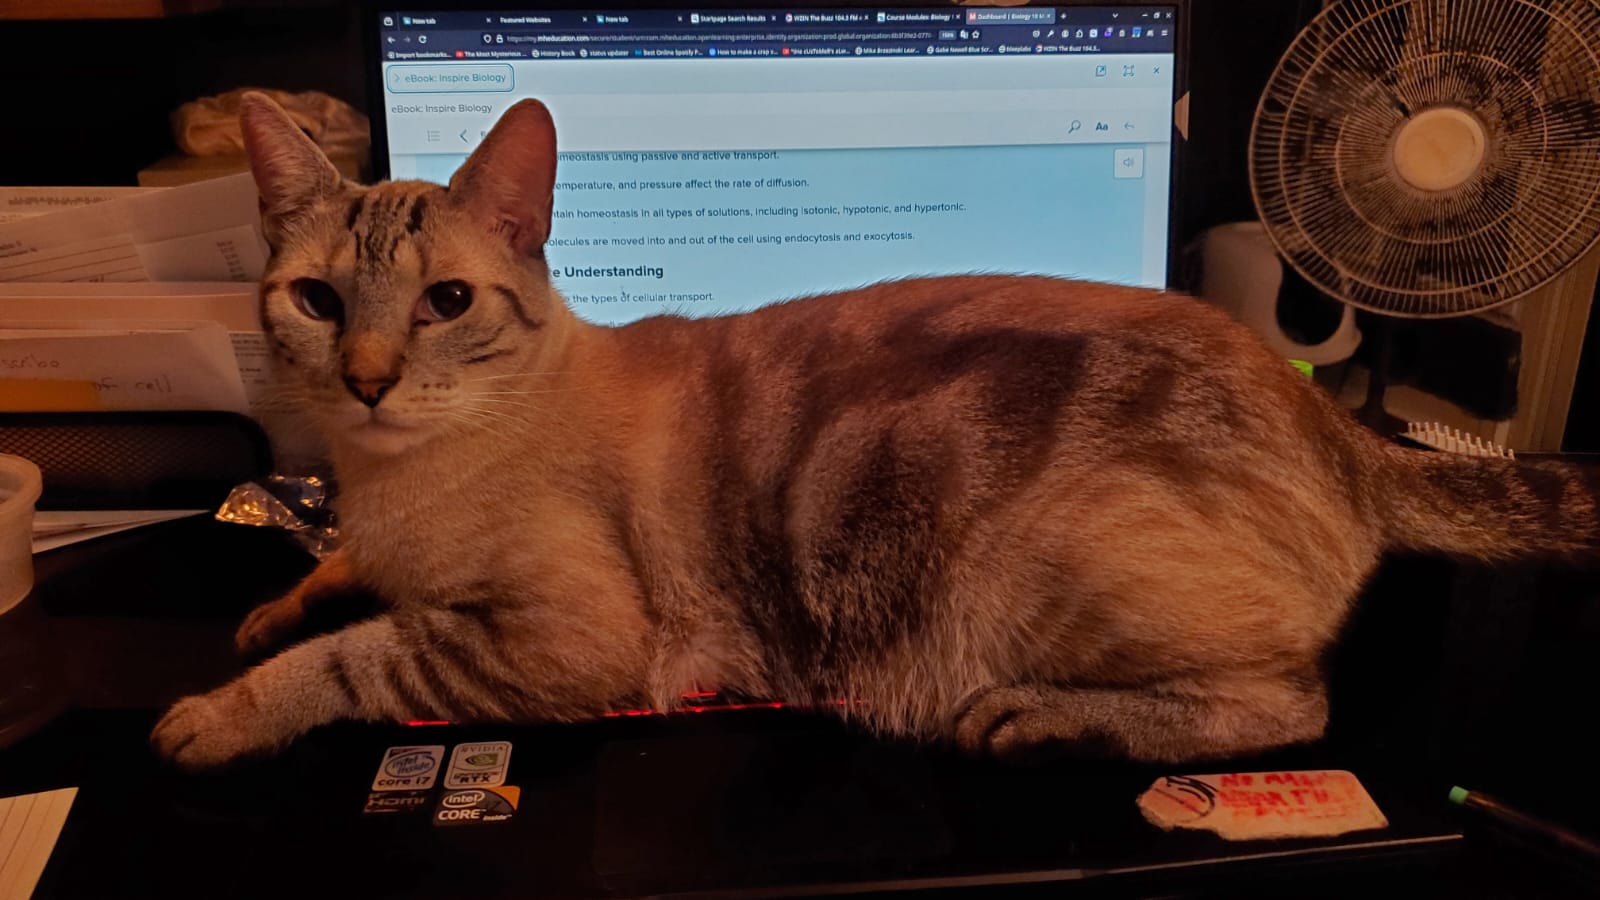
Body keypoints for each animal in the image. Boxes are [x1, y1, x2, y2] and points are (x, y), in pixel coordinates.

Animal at [152, 89, 1600, 762]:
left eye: (446, 303)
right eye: (318, 301)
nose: (368, 379)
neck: (389, 475)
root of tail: (1336, 425)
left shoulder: (558, 645)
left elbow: (357, 661)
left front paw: (214, 711)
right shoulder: (382, 549)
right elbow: (331, 585)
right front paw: (270, 608)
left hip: (1046, 586)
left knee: (1289, 705)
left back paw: (1040, 718)